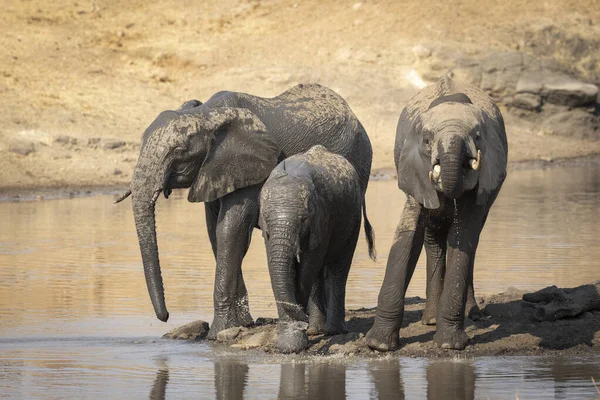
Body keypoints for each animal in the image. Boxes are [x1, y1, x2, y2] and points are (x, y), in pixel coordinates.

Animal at [258, 145, 376, 352]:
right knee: (318, 273)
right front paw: (289, 344)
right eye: (265, 217)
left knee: (337, 268)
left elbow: (306, 269)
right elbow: (276, 267)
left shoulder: (322, 218)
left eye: (303, 219)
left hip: (352, 218)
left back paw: (333, 331)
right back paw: (315, 330)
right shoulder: (268, 234)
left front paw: (294, 343)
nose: (302, 318)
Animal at [366, 75, 506, 350]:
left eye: (477, 136)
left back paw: (471, 315)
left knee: (470, 242)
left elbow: (463, 236)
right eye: (427, 140)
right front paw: (378, 345)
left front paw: (449, 345)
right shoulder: (414, 172)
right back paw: (430, 319)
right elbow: (407, 237)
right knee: (432, 239)